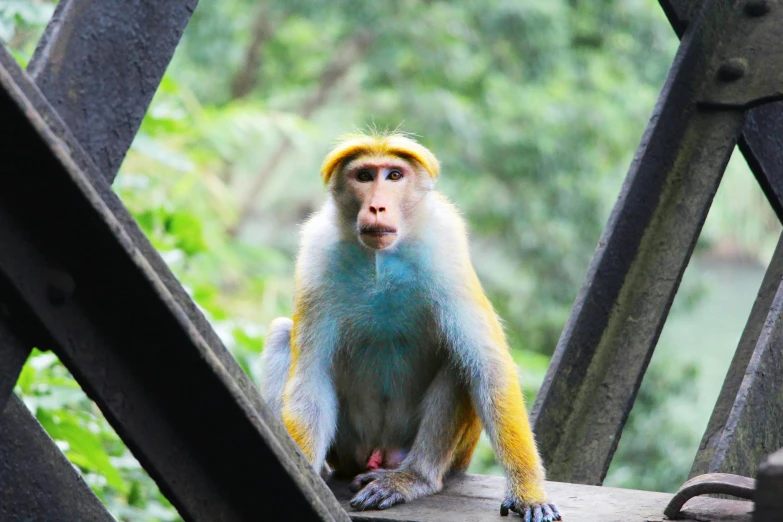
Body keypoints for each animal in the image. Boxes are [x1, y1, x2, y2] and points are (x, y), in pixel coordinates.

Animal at [264, 130, 564, 516]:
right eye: (364, 176)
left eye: (394, 175)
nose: (377, 206)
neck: (380, 259)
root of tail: (380, 455)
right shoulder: (316, 257)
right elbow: (309, 379)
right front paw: (302, 473)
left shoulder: (447, 249)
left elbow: (488, 366)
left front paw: (529, 493)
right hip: (348, 449)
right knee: (282, 336)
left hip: (450, 455)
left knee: (459, 358)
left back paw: (414, 478)